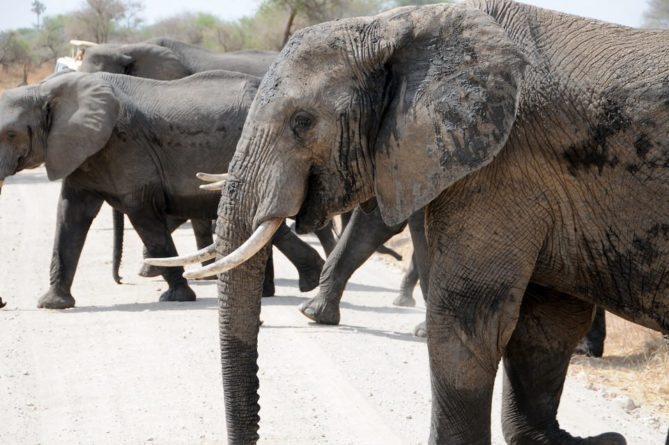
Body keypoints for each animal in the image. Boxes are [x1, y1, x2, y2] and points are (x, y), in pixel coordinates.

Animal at [0, 70, 325, 309]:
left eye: (10, 134)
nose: (120, 280)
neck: (44, 89)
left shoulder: (126, 150)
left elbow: (143, 215)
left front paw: (177, 297)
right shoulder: (81, 153)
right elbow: (70, 216)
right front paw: (53, 304)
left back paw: (309, 279)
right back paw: (274, 290)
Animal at [149, 1, 669, 443]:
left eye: (302, 122)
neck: (396, 26)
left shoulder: (502, 164)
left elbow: (469, 318)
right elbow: (545, 323)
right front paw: (591, 441)